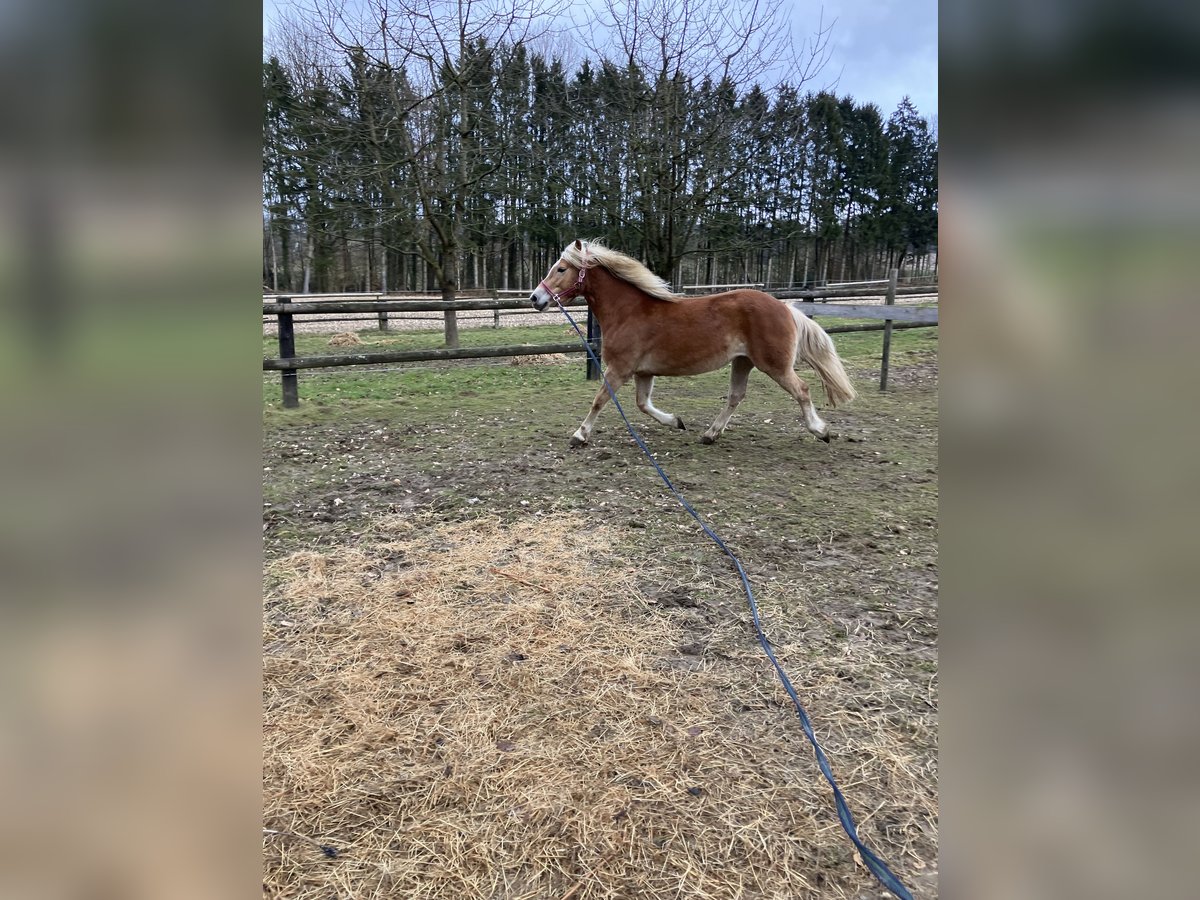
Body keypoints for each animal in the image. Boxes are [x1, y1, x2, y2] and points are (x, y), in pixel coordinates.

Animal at [530, 240, 859, 451]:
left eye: (561, 269)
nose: (535, 298)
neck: (628, 311)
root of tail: (785, 308)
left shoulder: (620, 369)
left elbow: (599, 400)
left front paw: (579, 435)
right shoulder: (643, 373)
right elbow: (643, 404)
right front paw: (676, 421)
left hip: (774, 365)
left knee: (802, 390)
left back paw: (821, 431)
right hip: (743, 362)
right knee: (735, 396)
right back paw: (710, 435)